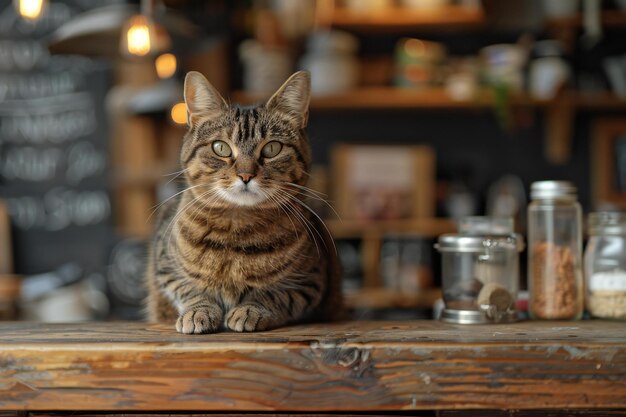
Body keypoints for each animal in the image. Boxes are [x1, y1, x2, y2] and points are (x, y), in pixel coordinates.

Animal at [145, 70, 342, 332]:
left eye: (272, 148)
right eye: (220, 148)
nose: (246, 175)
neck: (236, 230)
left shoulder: (310, 280)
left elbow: (273, 294)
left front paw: (249, 310)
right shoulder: (165, 266)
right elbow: (190, 289)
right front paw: (198, 311)